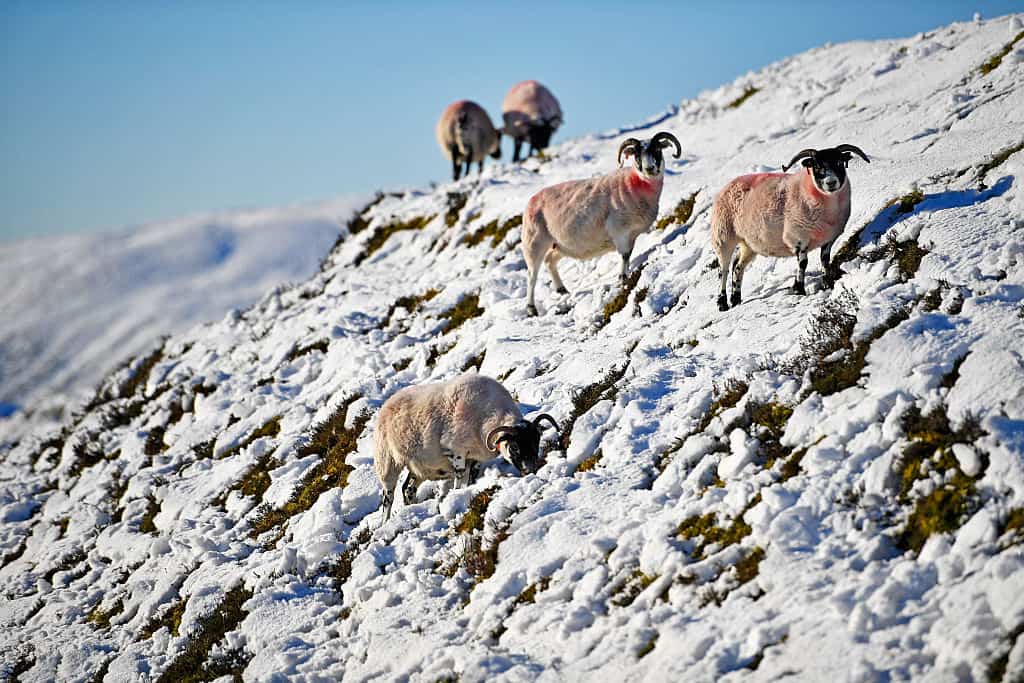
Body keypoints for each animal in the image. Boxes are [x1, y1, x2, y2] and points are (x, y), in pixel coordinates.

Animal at [374, 372, 559, 522]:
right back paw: (385, 522)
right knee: (388, 497)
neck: (488, 415)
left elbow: (470, 478)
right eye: (514, 447)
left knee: (408, 489)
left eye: (536, 442)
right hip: (387, 463)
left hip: (419, 467)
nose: (530, 470)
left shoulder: (474, 458)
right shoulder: (456, 451)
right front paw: (456, 497)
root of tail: (386, 405)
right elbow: (459, 480)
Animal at [520, 131, 682, 316]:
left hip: (560, 245)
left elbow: (628, 255)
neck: (636, 184)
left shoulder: (631, 235)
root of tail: (530, 202)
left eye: (657, 150)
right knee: (532, 276)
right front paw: (623, 278)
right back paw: (531, 309)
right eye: (637, 155)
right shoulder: (620, 231)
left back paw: (562, 290)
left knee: (549, 261)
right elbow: (624, 255)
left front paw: (625, 275)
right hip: (534, 243)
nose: (650, 169)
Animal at [710, 144, 870, 311]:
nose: (831, 182)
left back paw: (736, 298)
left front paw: (827, 282)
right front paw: (799, 289)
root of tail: (727, 186)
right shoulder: (798, 237)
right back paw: (722, 303)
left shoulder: (828, 238)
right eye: (817, 166)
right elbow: (803, 263)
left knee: (737, 266)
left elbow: (825, 260)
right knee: (723, 270)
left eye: (839, 162)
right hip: (723, 236)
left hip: (749, 243)